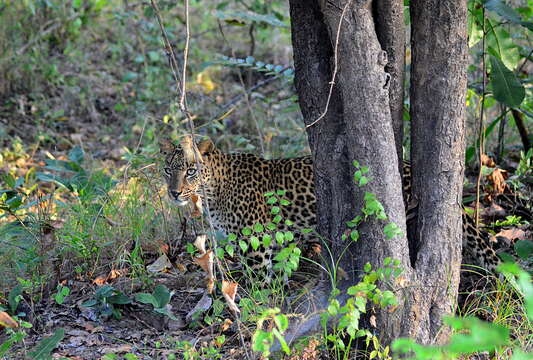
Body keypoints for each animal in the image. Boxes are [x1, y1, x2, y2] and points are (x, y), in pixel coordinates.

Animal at [161, 136, 516, 274]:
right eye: (168, 169)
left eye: (190, 171)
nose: (174, 193)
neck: (212, 193)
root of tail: (408, 167)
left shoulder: (257, 242)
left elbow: (261, 279)